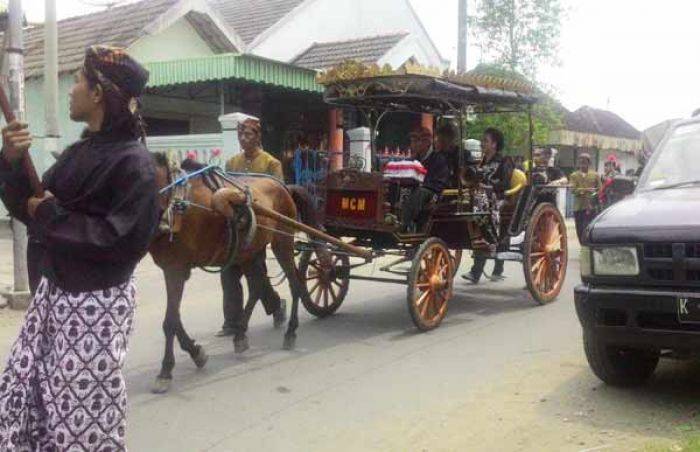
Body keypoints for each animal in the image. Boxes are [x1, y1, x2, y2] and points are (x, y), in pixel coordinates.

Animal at [152, 154, 316, 392]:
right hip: (251, 250)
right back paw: (240, 334)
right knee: (257, 286)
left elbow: (170, 321)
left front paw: (165, 371)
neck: (174, 201)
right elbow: (175, 319)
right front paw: (196, 353)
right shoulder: (170, 268)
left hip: (282, 240)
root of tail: (284, 186)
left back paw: (290, 331)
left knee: (294, 283)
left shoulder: (176, 268)